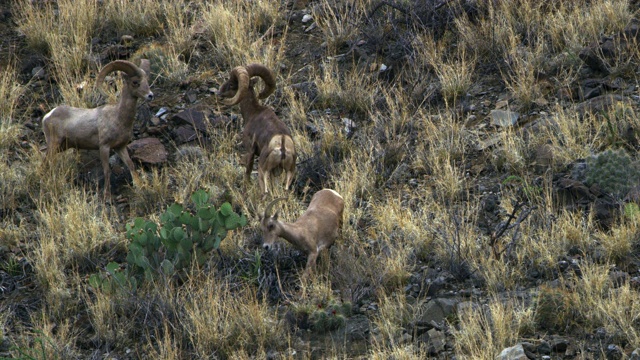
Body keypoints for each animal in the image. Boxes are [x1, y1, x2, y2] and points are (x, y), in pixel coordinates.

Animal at [41, 59, 154, 200]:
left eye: (146, 81)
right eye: (135, 82)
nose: (150, 95)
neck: (118, 117)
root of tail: (47, 116)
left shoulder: (120, 147)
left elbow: (131, 165)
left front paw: (139, 186)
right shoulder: (104, 147)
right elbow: (106, 170)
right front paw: (107, 196)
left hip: (61, 147)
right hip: (54, 144)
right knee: (45, 163)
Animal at [215, 63, 296, 195]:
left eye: (232, 84)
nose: (219, 94)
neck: (253, 112)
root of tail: (282, 145)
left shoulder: (250, 151)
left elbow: (247, 172)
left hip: (263, 171)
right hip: (287, 174)